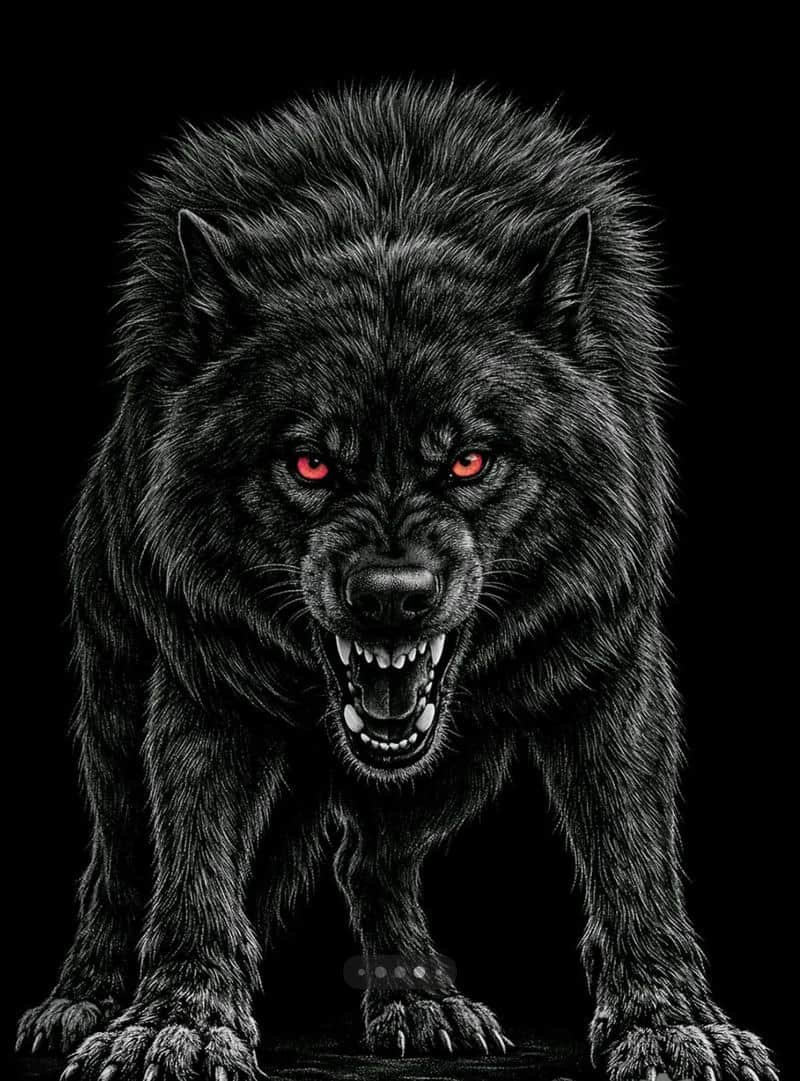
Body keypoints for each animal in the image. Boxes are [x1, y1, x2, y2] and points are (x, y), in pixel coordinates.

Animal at [16, 82, 779, 1081]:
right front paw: (176, 1021)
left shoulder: (610, 671)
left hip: (460, 767)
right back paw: (81, 999)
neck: (391, 212)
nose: (390, 594)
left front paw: (671, 1022)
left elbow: (635, 859)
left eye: (468, 460)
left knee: (366, 861)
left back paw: (418, 1001)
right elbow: (193, 874)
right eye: (310, 463)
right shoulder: (203, 685)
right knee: (118, 867)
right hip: (114, 714)